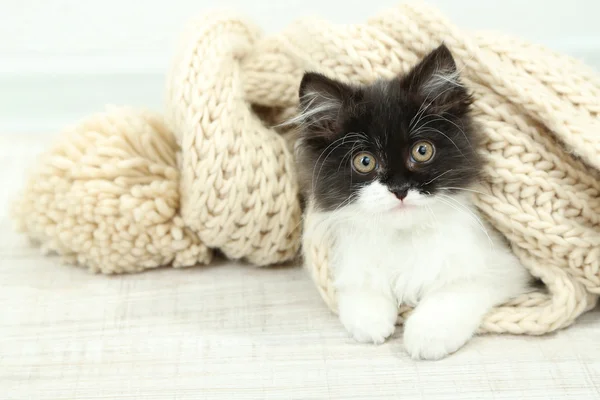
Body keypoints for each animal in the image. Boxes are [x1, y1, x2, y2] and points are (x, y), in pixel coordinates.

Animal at [292, 45, 532, 360]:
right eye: (365, 161)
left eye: (422, 151)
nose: (399, 189)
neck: (404, 236)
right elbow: (359, 281)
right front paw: (369, 319)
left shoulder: (503, 266)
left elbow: (456, 289)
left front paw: (427, 333)